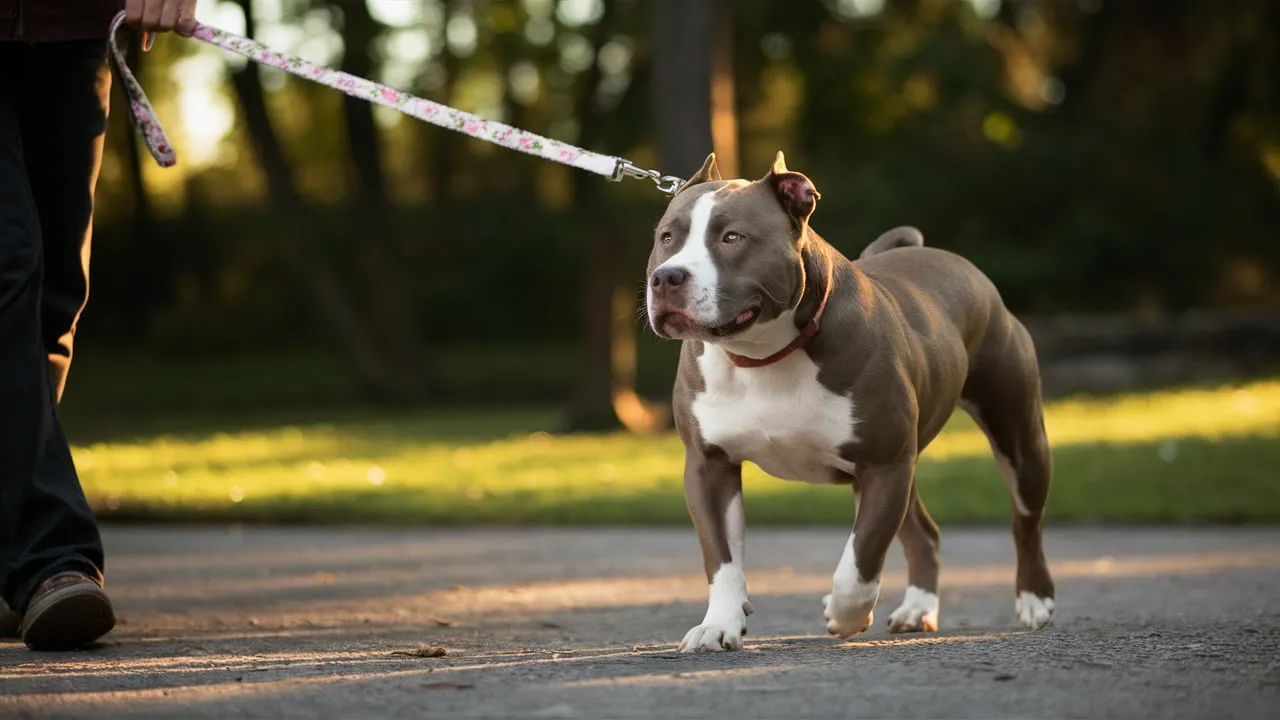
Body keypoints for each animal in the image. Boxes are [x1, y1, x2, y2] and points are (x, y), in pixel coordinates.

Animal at [645, 149, 1054, 650]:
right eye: (667, 237)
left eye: (732, 237)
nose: (667, 277)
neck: (762, 355)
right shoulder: (709, 465)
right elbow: (721, 559)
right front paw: (719, 624)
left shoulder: (883, 463)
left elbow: (860, 559)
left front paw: (845, 616)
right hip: (908, 466)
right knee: (925, 533)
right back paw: (918, 609)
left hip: (1017, 438)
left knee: (1025, 520)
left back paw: (1034, 600)